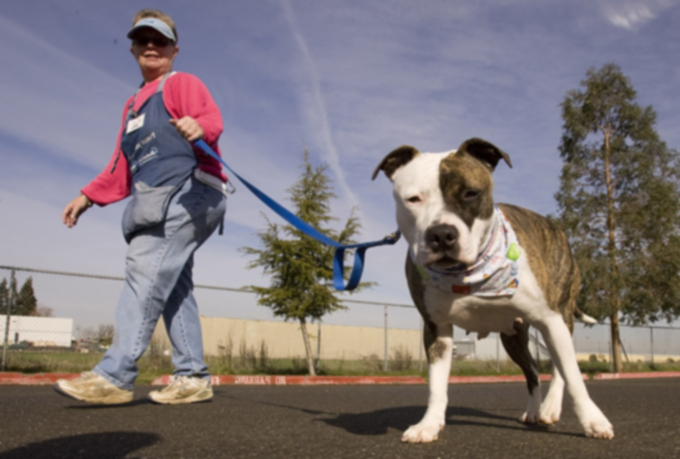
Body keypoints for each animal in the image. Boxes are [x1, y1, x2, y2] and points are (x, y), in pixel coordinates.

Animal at [372, 138, 616, 444]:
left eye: (471, 193)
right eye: (413, 199)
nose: (441, 235)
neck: (470, 274)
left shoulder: (550, 321)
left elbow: (573, 376)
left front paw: (593, 421)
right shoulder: (437, 328)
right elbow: (436, 385)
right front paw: (428, 424)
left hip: (561, 318)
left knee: (560, 370)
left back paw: (550, 408)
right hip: (513, 338)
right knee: (532, 372)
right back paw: (534, 410)